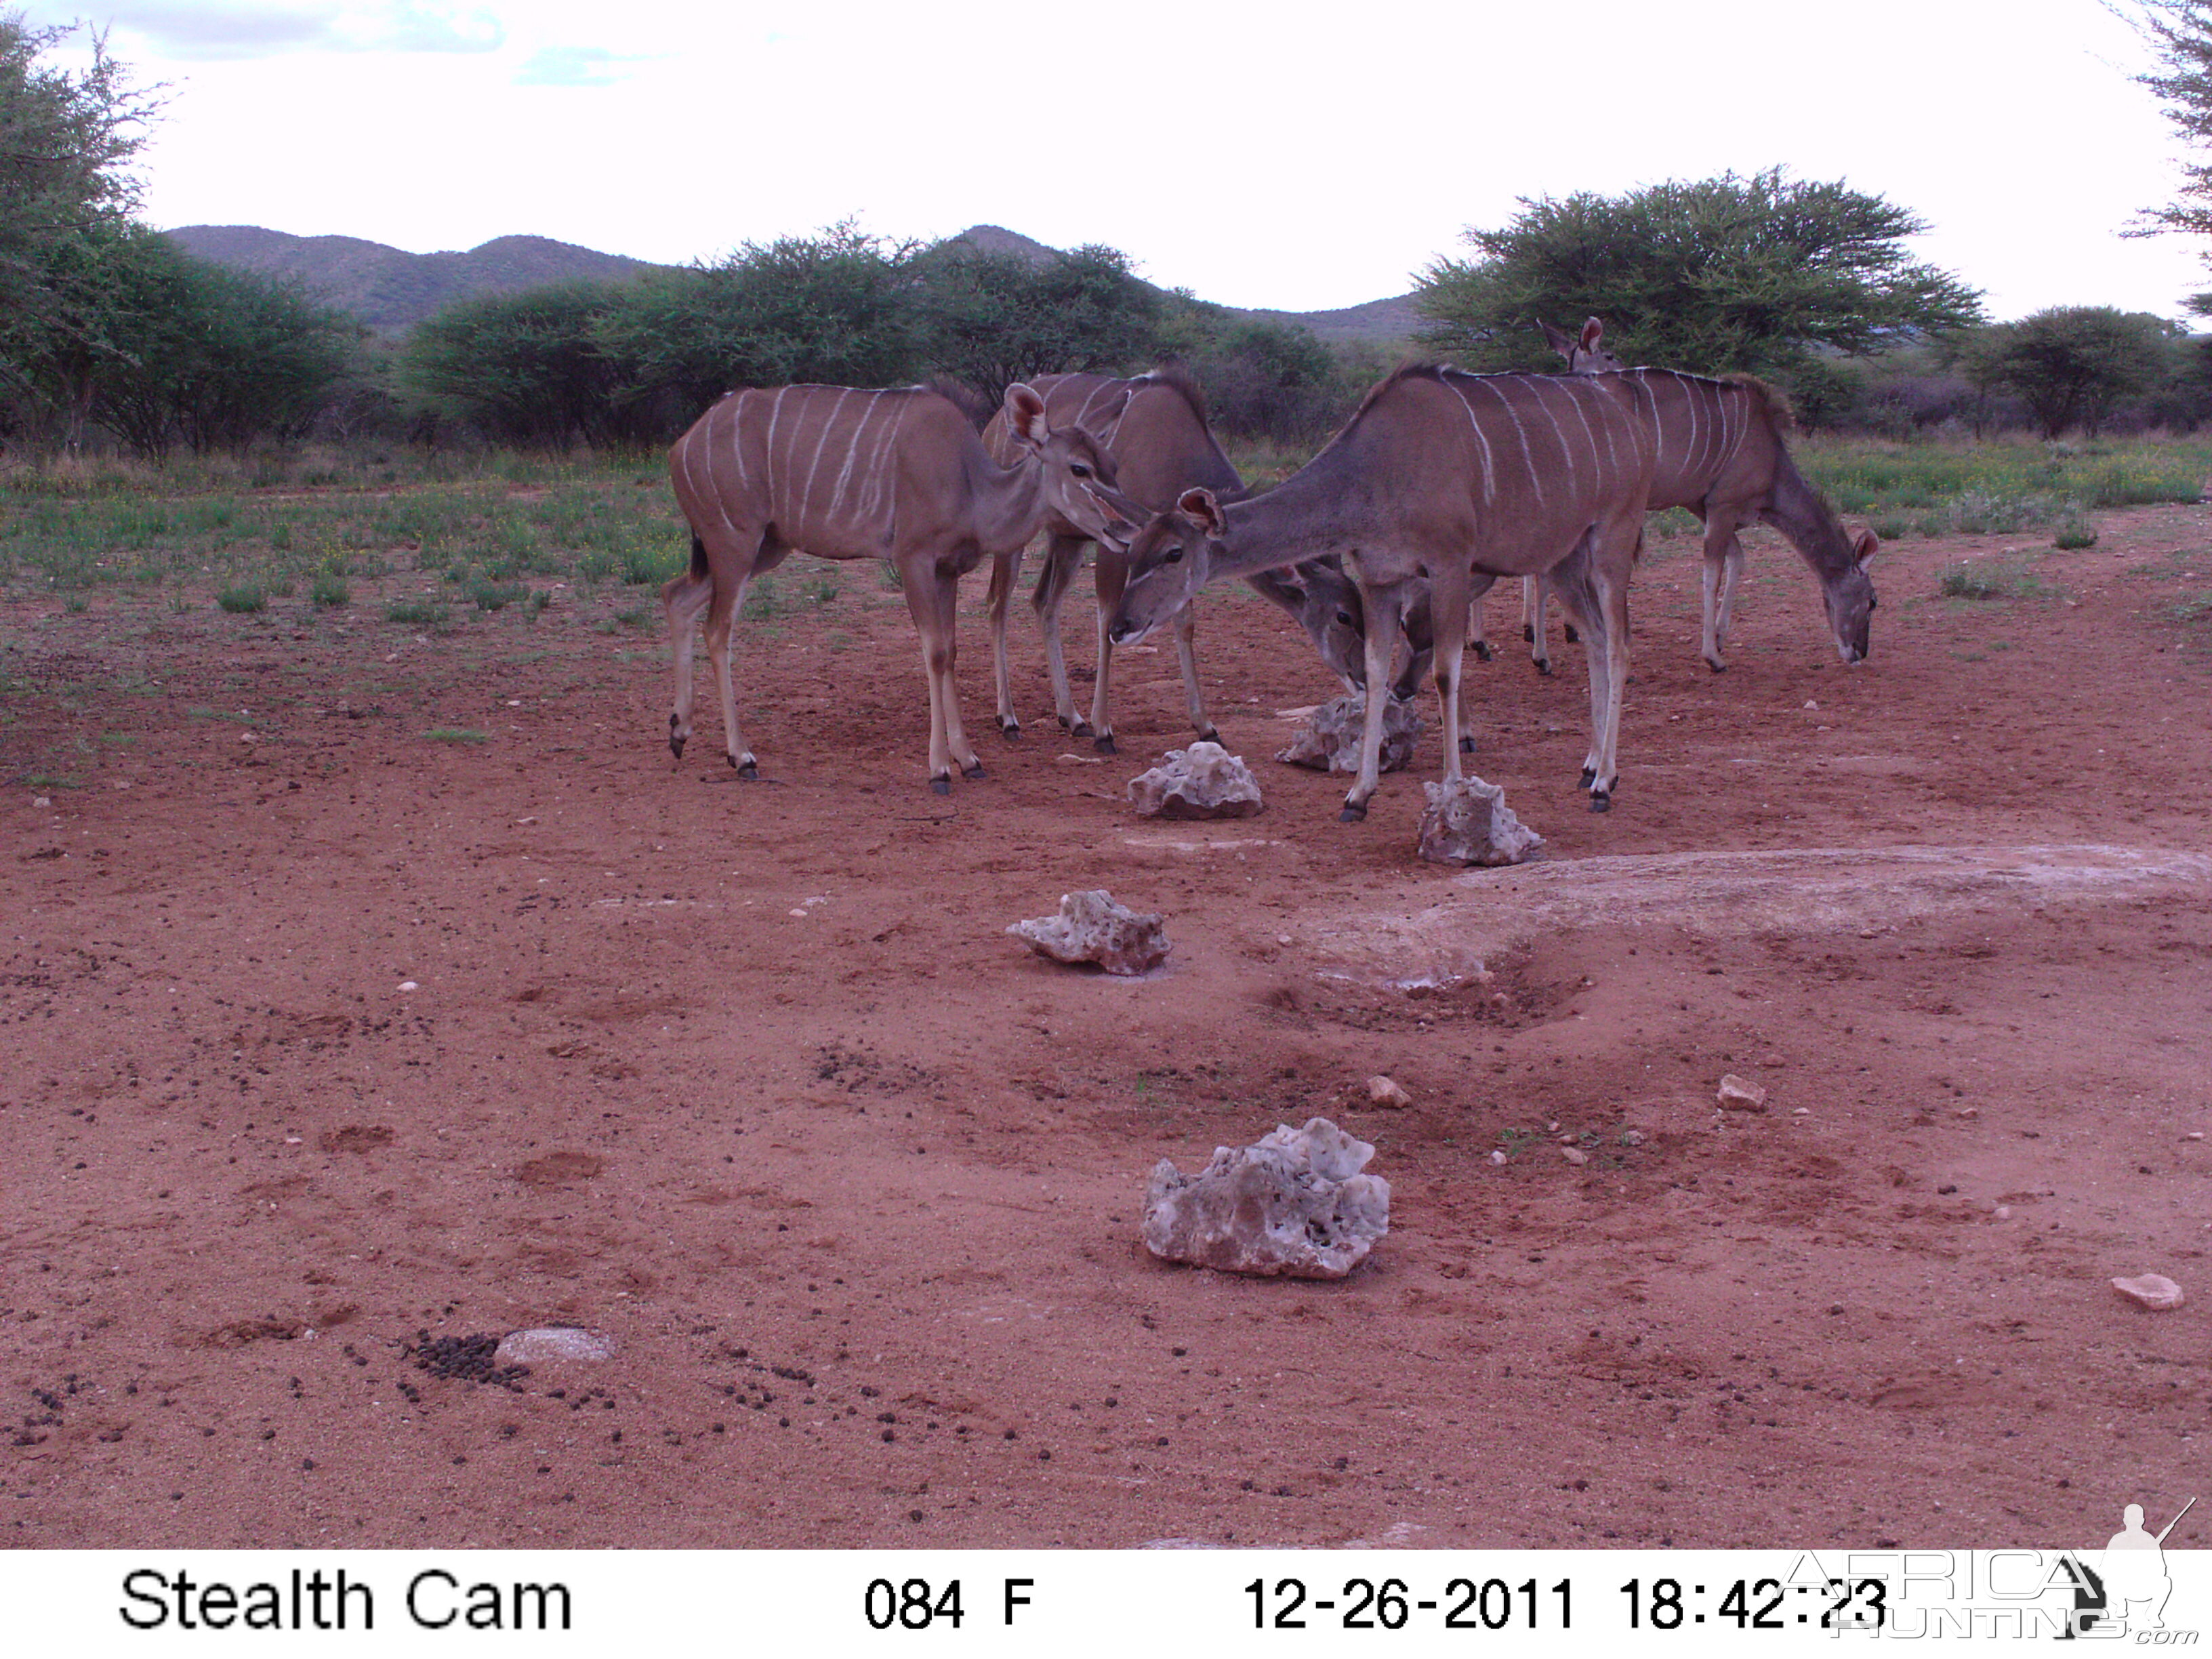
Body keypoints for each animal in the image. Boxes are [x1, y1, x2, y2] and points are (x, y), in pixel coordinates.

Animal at [659, 382, 1141, 792]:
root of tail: (680, 446)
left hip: (766, 547)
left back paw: (680, 731)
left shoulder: (947, 571)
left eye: (1114, 465)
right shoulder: (914, 559)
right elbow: (935, 652)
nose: (1128, 529)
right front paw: (940, 769)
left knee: (677, 596)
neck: (971, 487)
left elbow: (951, 652)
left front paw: (969, 760)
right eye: (1079, 468)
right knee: (716, 629)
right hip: (735, 543)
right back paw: (742, 757)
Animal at [982, 369, 1362, 752]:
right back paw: (1009, 718)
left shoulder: (1180, 557)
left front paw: (1206, 727)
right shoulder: (1117, 546)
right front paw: (1104, 730)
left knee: (1044, 603)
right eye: (1342, 615)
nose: (1361, 677)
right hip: (1018, 537)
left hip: (1068, 540)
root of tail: (993, 424)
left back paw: (1071, 718)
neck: (1175, 448)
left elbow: (1185, 625)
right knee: (1000, 606)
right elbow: (1108, 622)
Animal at [1106, 371, 1663, 827]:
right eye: (1133, 551)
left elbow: (1444, 672)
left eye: (1174, 552)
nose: (1121, 625)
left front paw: (1455, 789)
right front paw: (1358, 796)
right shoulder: (1380, 580)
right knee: (1594, 638)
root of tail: (1634, 429)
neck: (1375, 470)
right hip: (1564, 560)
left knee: (1620, 644)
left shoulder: (1450, 566)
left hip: (1612, 540)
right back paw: (1590, 765)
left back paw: (1603, 784)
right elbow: (1375, 675)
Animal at [1530, 314, 1875, 672]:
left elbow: (1737, 558)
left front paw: (1721, 637)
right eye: (1872, 602)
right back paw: (1545, 655)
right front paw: (1713, 655)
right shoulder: (1723, 506)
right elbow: (1712, 574)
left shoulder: (1704, 506)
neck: (1772, 459)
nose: (1859, 651)